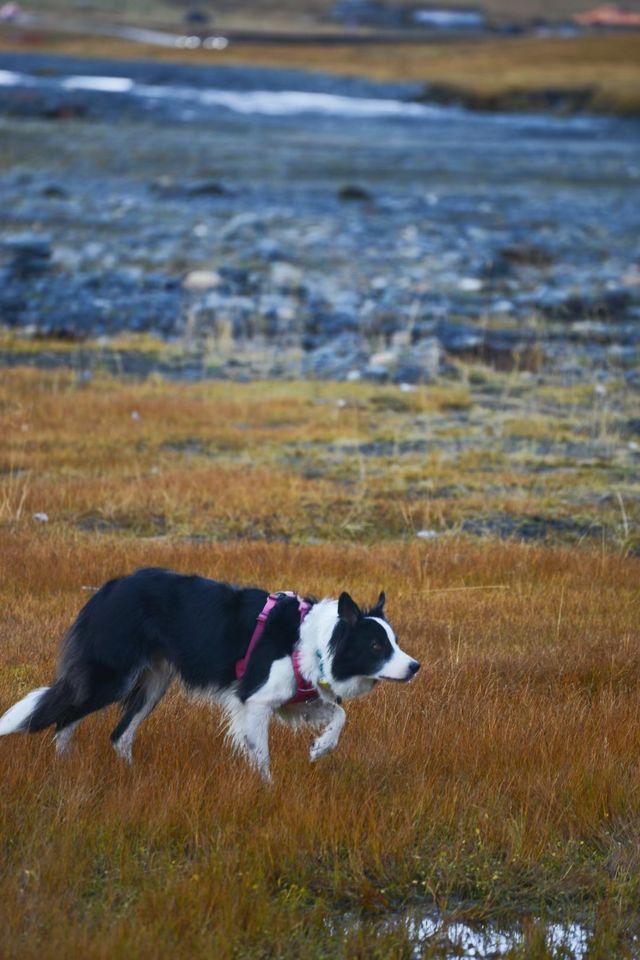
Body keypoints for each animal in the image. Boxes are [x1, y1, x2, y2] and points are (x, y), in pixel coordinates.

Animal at [0, 568, 420, 780]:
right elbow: (260, 755)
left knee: (118, 735)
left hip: (153, 685)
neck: (315, 640)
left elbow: (340, 713)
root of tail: (106, 590)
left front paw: (320, 747)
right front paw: (267, 791)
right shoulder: (256, 700)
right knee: (62, 716)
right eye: (376, 647)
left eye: (395, 642)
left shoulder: (292, 700)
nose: (416, 667)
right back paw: (63, 768)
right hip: (112, 677)